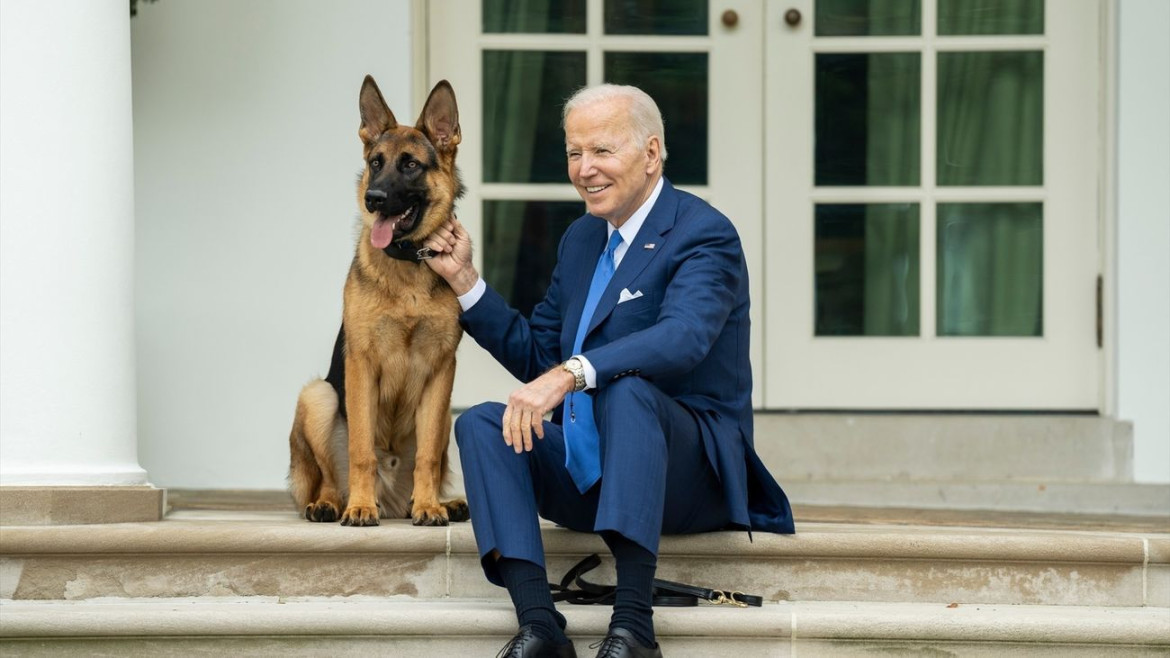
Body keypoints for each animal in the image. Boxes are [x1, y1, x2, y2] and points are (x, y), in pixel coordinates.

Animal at [288, 76, 470, 524]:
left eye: (410, 165)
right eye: (375, 162)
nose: (373, 198)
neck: (407, 263)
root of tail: (392, 502)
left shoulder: (442, 371)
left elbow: (427, 457)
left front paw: (429, 506)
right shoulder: (361, 365)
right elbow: (361, 450)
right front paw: (359, 507)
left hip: (447, 415)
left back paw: (438, 503)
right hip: (318, 396)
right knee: (330, 477)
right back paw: (332, 504)